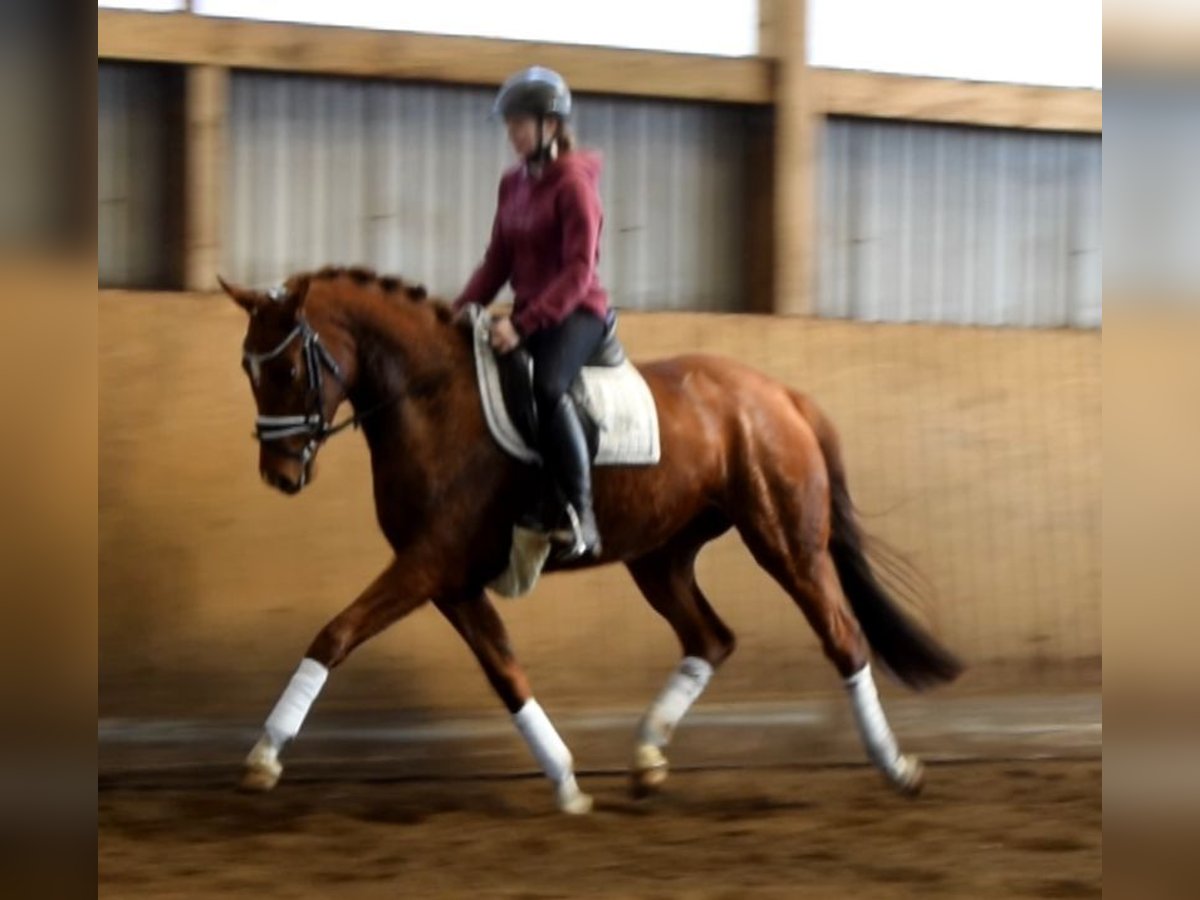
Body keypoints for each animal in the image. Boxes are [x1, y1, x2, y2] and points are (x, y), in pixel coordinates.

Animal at [221, 265, 963, 815]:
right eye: (248, 371)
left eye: (286, 370)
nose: (279, 475)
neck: (433, 403)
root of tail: (782, 395)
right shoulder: (451, 579)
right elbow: (507, 673)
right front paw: (567, 783)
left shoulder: (428, 564)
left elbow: (335, 634)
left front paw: (264, 757)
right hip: (660, 556)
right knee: (710, 639)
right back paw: (647, 759)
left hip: (785, 541)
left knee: (843, 636)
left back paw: (897, 767)